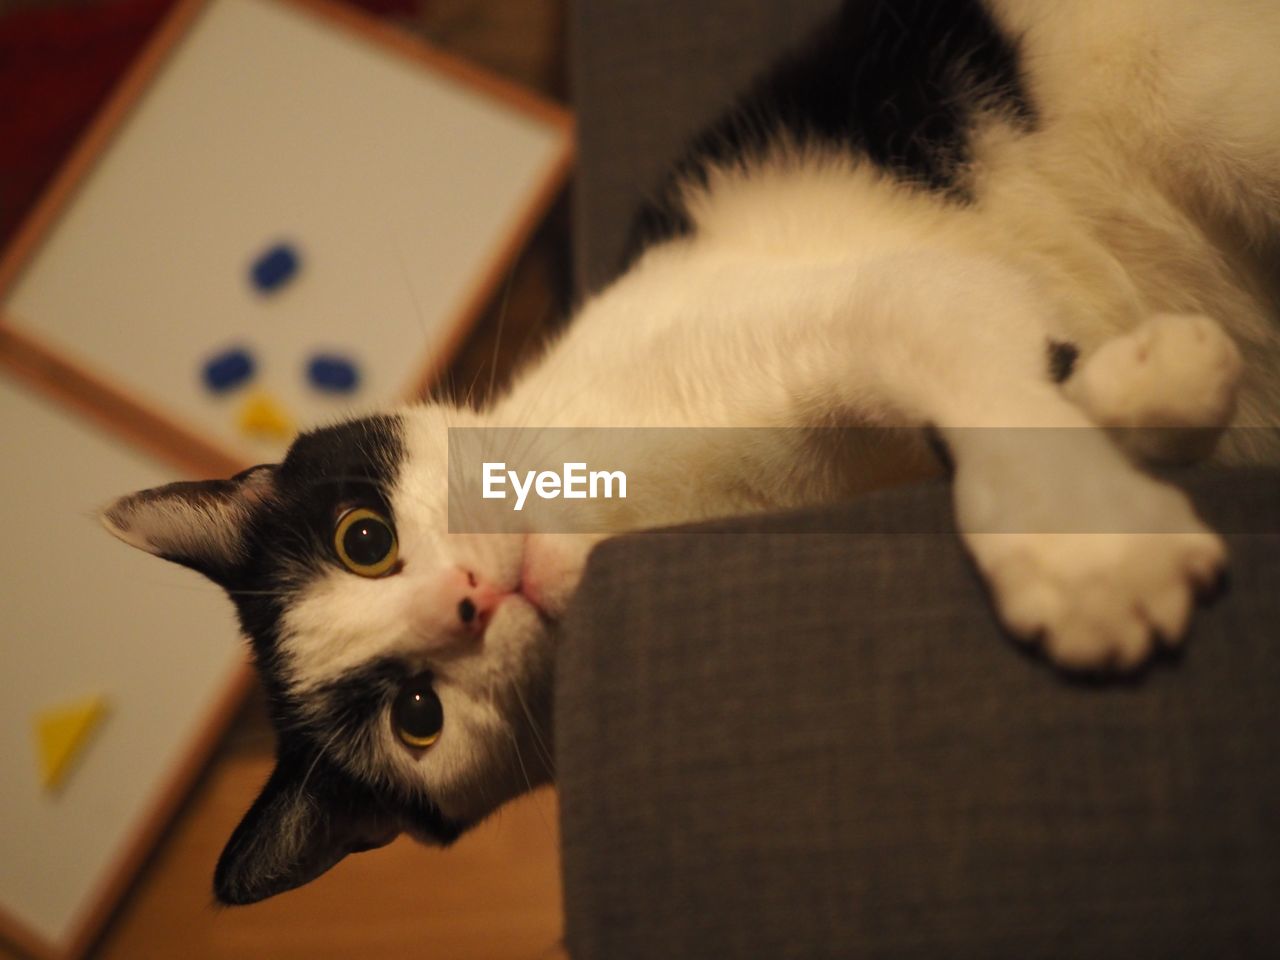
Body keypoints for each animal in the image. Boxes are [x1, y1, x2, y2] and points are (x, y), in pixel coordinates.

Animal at [104, 0, 1274, 906]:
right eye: (417, 718)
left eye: (364, 539)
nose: (470, 599)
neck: (655, 506)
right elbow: (1029, 373)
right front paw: (1157, 383)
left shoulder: (876, 294)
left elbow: (950, 348)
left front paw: (1087, 543)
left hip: (1212, 111)